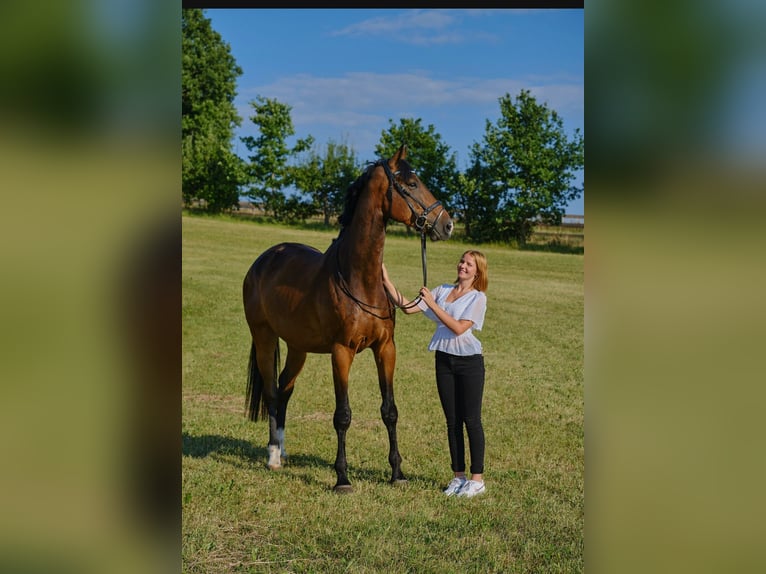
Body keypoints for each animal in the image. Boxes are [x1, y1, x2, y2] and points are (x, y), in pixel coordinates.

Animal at [243, 146, 452, 492]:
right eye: (411, 183)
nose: (447, 224)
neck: (360, 280)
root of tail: (265, 259)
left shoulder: (386, 349)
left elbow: (390, 411)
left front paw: (397, 473)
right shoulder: (342, 352)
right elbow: (342, 414)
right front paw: (342, 478)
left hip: (298, 348)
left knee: (285, 389)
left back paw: (283, 450)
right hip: (264, 339)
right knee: (272, 393)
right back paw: (273, 455)